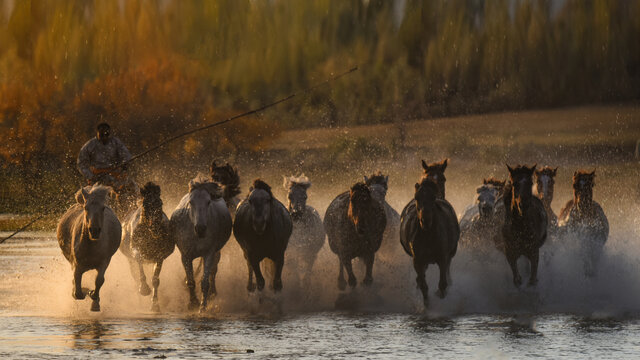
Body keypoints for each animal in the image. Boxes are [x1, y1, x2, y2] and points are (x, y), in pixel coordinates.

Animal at [120, 183, 174, 312]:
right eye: (145, 204)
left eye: (160, 203)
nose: (156, 227)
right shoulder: (135, 251)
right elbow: (140, 265)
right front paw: (144, 289)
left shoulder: (159, 256)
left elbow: (155, 280)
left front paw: (155, 305)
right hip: (130, 259)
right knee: (135, 276)